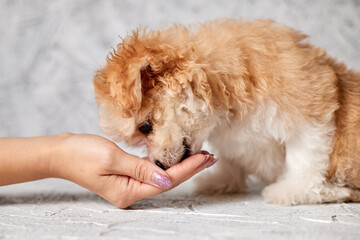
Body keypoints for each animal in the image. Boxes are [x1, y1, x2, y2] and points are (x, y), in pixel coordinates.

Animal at [93, 19, 360, 206]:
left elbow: (304, 156)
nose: (159, 165)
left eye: (145, 127)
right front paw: (223, 180)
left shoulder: (311, 111)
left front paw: (293, 190)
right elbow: (233, 160)